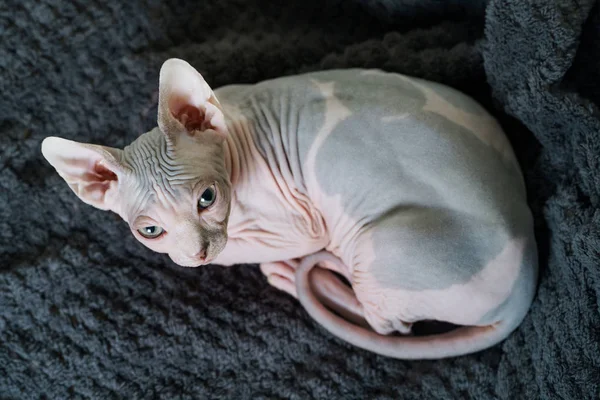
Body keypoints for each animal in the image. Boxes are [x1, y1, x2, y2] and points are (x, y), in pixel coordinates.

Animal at [42, 57, 540, 360]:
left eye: (207, 199)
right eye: (150, 231)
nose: (197, 252)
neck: (234, 139)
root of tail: (525, 281)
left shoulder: (300, 226)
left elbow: (239, 249)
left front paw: (238, 254)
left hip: (376, 245)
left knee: (385, 325)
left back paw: (295, 274)